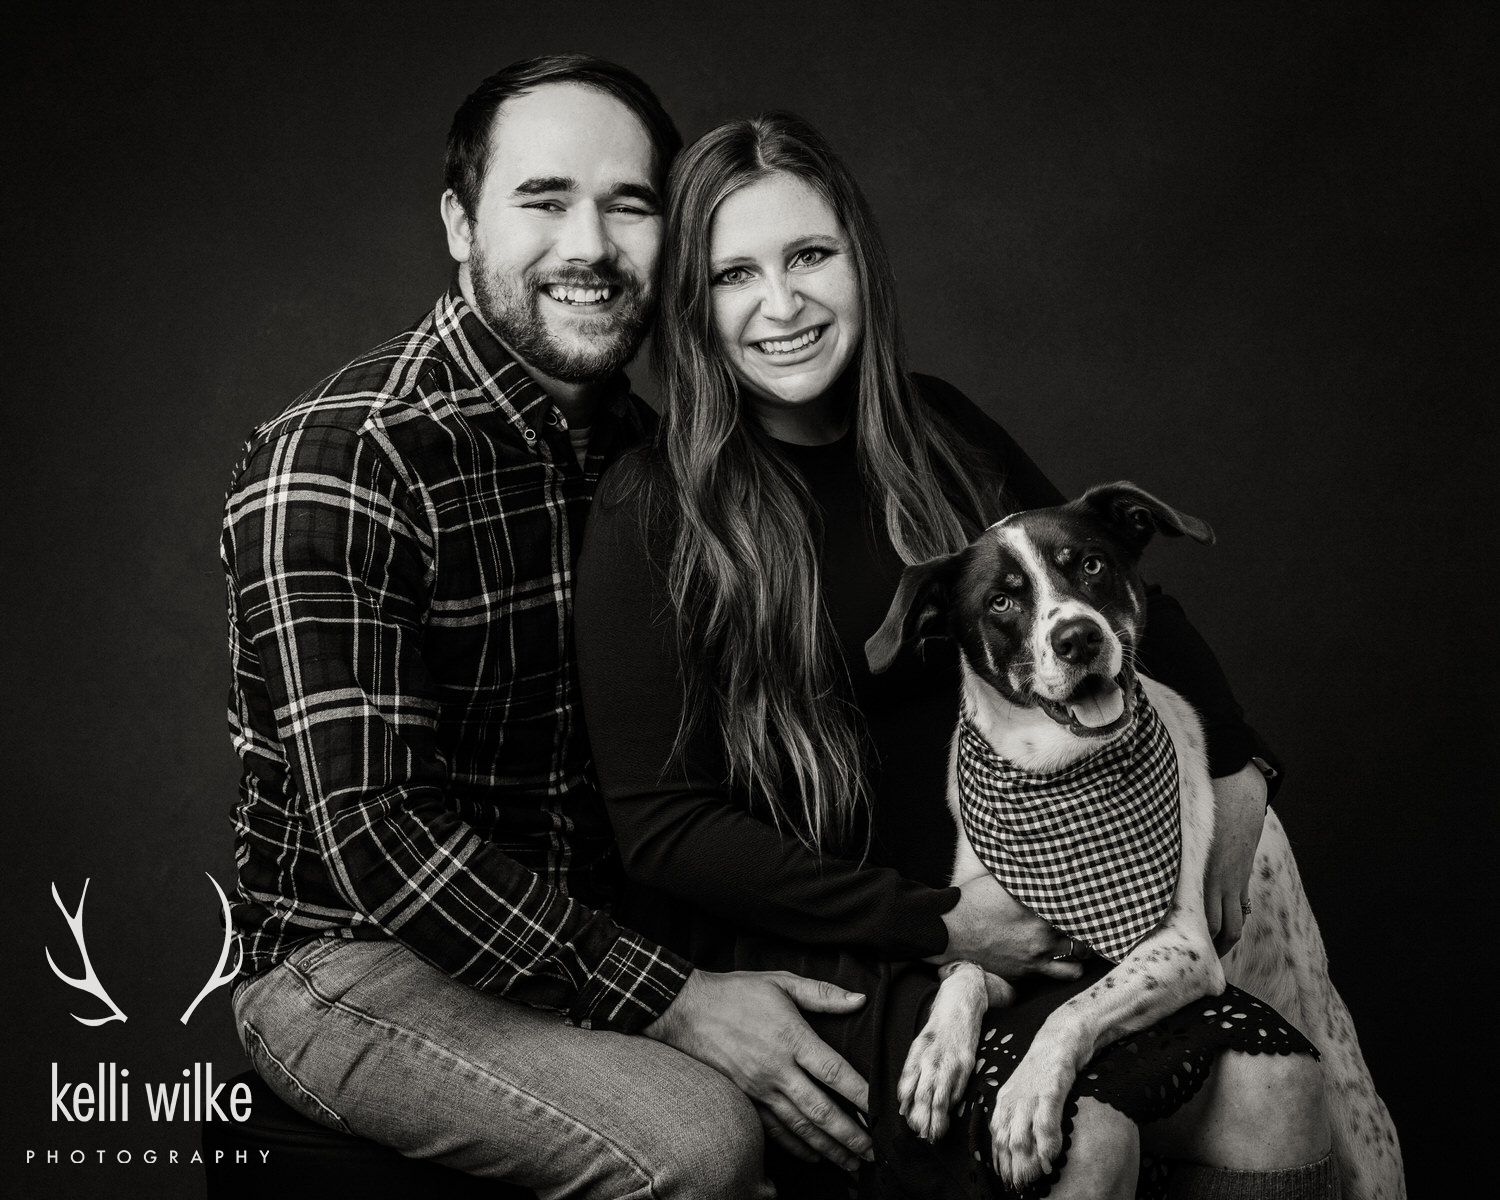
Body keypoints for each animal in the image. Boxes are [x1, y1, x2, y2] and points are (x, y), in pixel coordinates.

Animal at [864, 483, 1398, 1200]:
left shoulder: (1179, 950)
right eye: (1001, 601)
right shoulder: (994, 931)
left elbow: (1071, 1010)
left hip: (1365, 1143)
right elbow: (967, 974)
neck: (1056, 770)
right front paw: (935, 1057)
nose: (1078, 636)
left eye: (1090, 564)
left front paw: (1024, 1103)